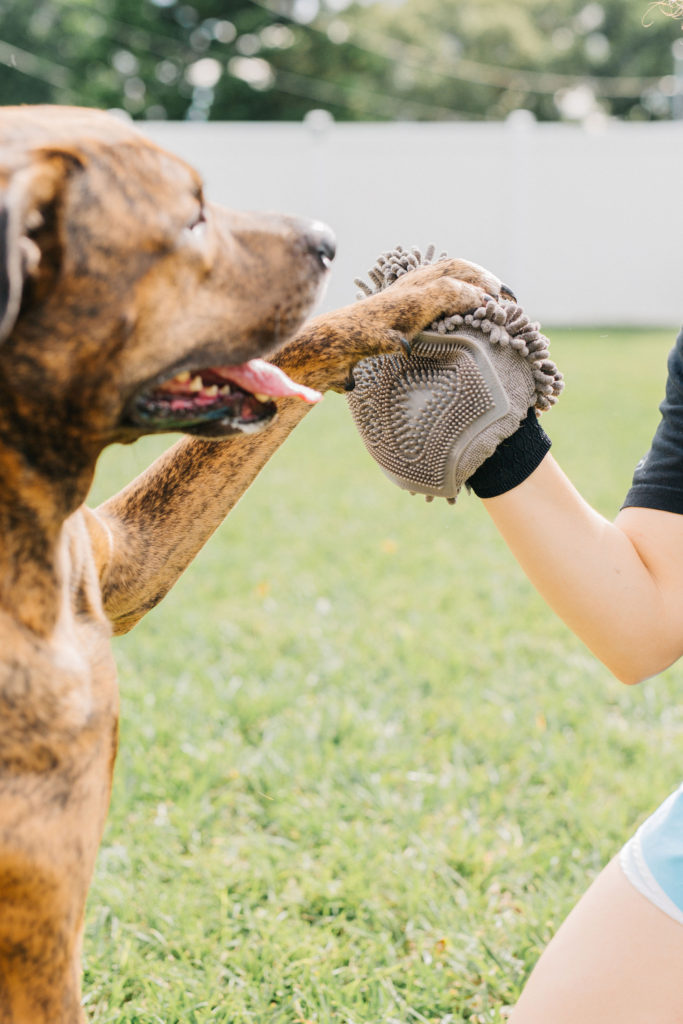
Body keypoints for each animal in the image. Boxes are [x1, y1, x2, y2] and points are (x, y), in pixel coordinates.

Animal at [0, 108, 507, 1019]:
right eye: (191, 217)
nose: (325, 237)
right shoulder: (42, 924)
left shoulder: (123, 557)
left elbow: (300, 351)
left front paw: (413, 295)